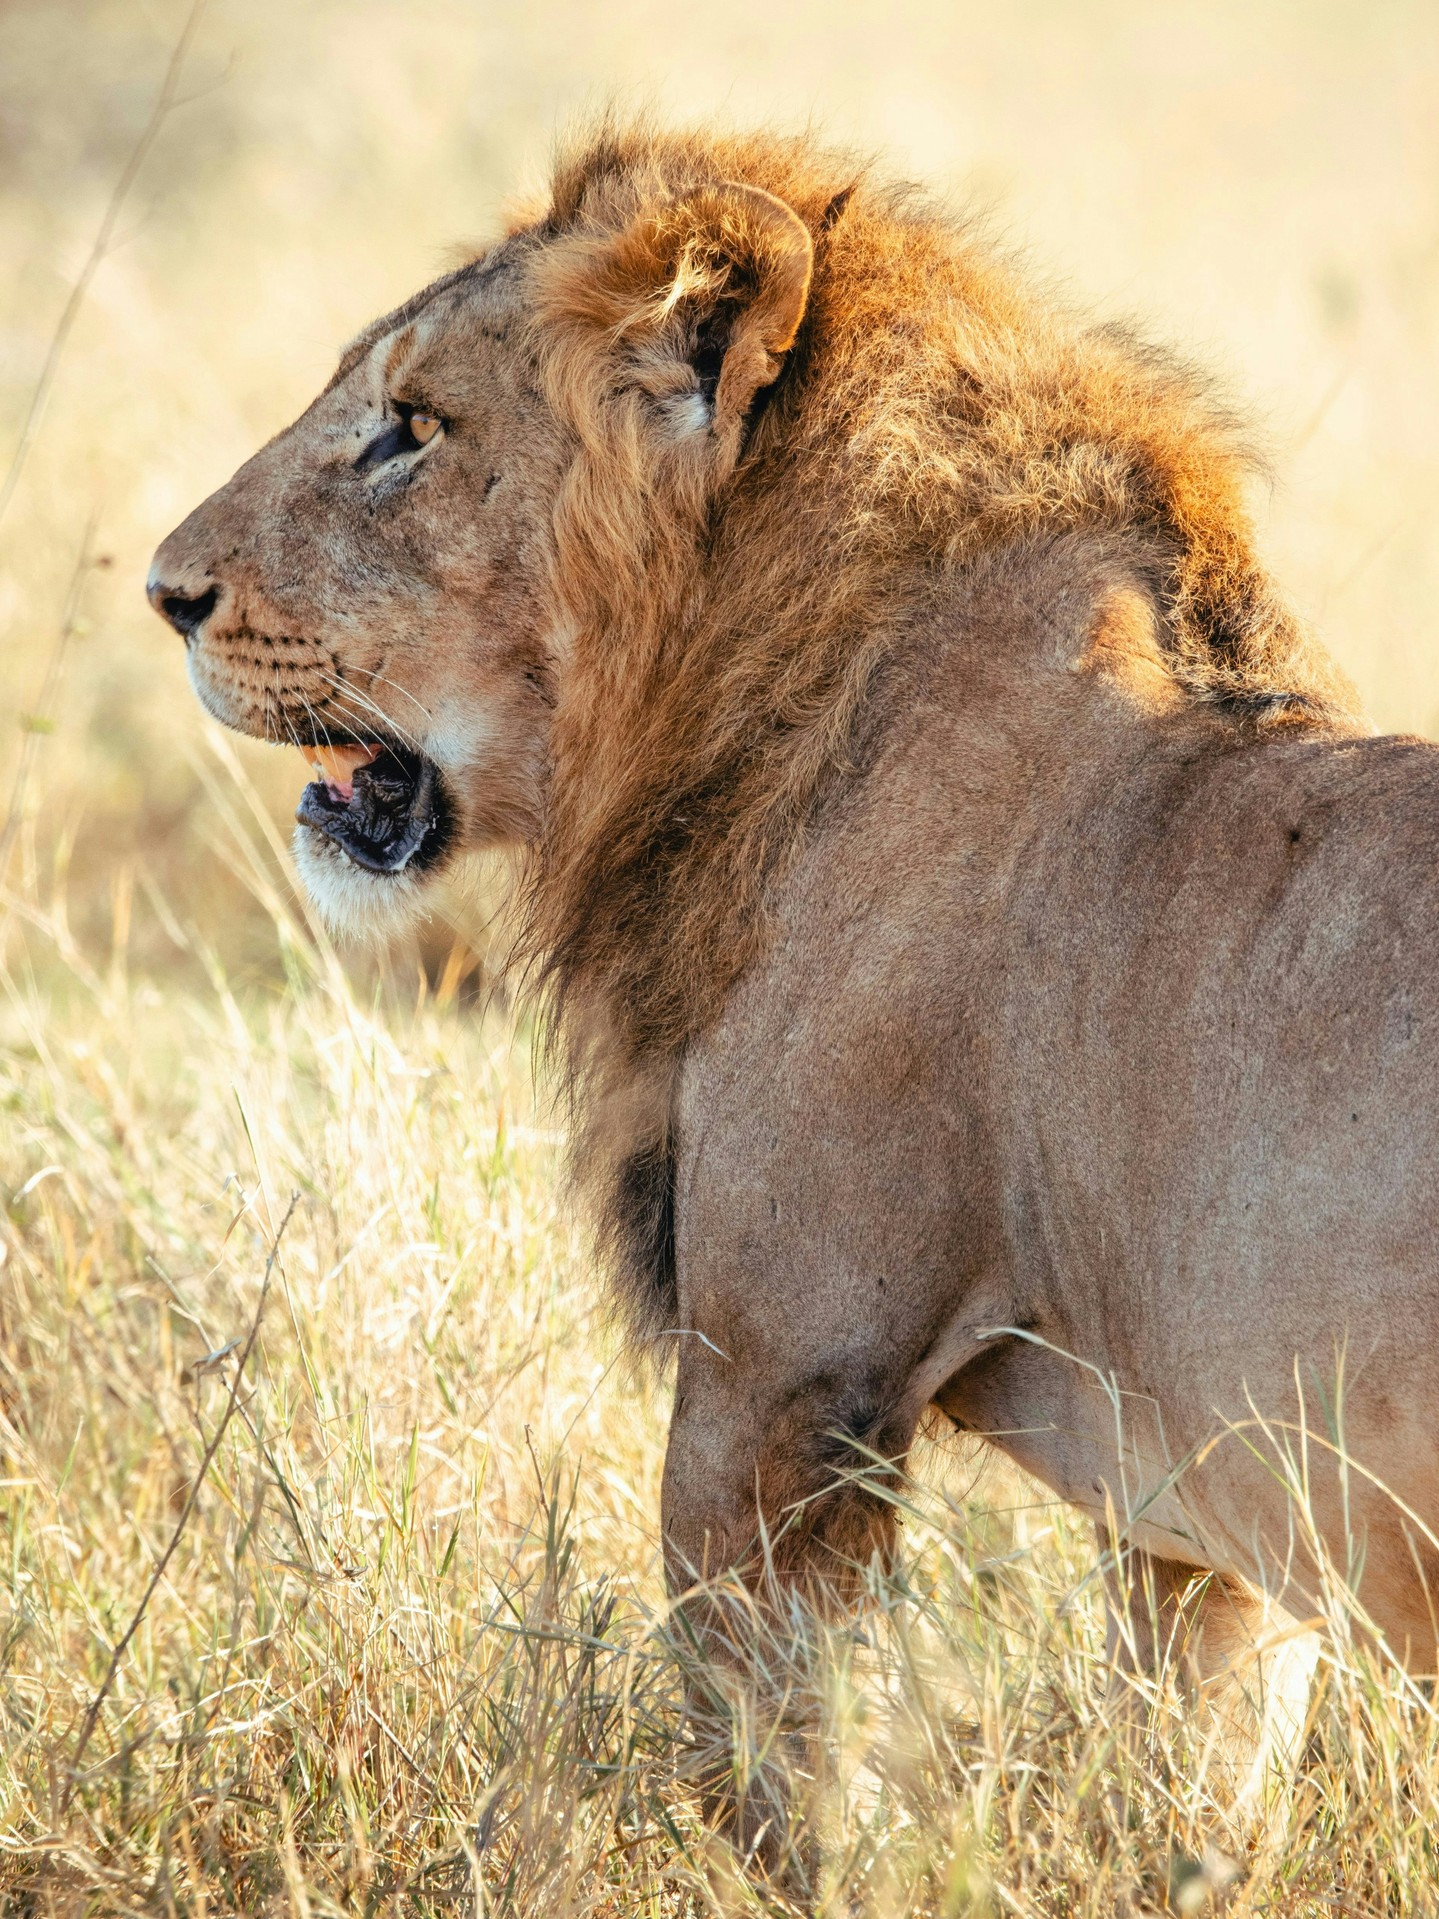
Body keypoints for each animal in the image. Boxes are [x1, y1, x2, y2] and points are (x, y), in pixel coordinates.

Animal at [149, 119, 1439, 1859]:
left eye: (411, 431)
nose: (165, 591)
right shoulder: (1209, 1521)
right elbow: (1194, 1793)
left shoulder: (779, 1387)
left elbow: (785, 1788)